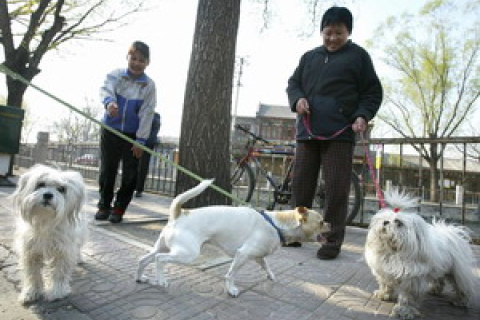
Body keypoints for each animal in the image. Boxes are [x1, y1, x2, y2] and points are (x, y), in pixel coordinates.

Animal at [10, 164, 87, 304]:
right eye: (40, 184)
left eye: (61, 189)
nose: (47, 195)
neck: (46, 221)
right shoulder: (31, 251)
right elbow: (33, 274)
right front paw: (31, 292)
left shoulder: (63, 251)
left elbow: (59, 272)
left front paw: (57, 291)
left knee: (78, 247)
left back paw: (78, 258)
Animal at [135, 179, 330, 296]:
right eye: (321, 222)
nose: (330, 224)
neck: (276, 224)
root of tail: (179, 214)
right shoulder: (242, 255)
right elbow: (231, 274)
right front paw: (231, 289)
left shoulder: (258, 256)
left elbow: (266, 266)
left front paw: (271, 276)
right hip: (186, 254)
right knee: (160, 260)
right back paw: (161, 279)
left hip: (164, 247)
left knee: (144, 259)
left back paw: (140, 278)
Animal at [366, 189, 478, 318]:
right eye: (385, 218)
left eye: (398, 222)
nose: (385, 222)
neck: (394, 250)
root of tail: (450, 232)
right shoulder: (384, 272)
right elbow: (386, 284)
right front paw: (384, 294)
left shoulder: (412, 279)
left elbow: (408, 297)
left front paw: (404, 310)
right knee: (439, 278)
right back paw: (435, 289)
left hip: (457, 271)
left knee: (462, 286)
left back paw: (461, 301)